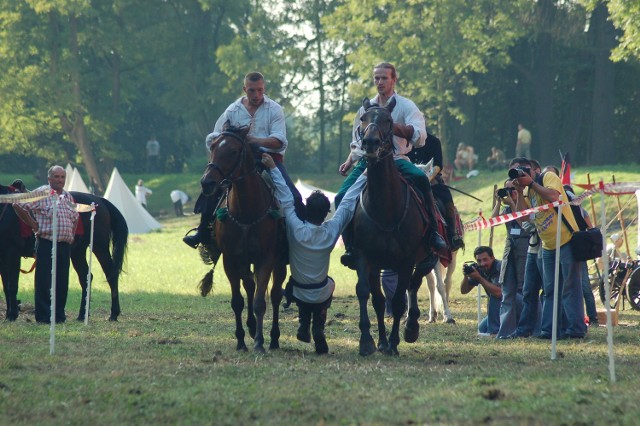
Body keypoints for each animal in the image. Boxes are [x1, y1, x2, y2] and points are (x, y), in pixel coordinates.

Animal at [0, 188, 127, 322]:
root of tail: (99, 200)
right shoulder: (3, 258)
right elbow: (6, 287)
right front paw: (9, 314)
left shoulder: (12, 254)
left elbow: (12, 285)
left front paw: (12, 314)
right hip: (78, 252)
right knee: (85, 277)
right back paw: (82, 315)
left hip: (100, 247)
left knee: (111, 274)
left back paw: (113, 313)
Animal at [199, 125, 286, 352]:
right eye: (213, 146)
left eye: (233, 151)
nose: (207, 182)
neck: (246, 212)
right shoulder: (231, 260)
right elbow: (237, 301)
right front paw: (240, 341)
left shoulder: (266, 259)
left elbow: (260, 302)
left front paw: (259, 344)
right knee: (249, 286)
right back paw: (252, 328)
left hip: (279, 262)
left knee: (275, 294)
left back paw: (273, 338)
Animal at [348, 97, 438, 356]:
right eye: (363, 119)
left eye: (388, 120)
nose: (370, 142)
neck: (385, 209)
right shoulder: (366, 258)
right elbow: (370, 296)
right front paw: (371, 341)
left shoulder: (407, 260)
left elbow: (398, 300)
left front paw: (395, 342)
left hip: (424, 258)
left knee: (414, 285)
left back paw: (411, 327)